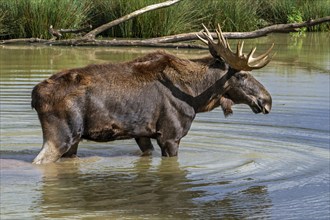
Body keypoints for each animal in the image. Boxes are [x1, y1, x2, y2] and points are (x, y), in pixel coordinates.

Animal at [31, 24, 274, 164]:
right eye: (242, 75)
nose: (267, 100)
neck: (196, 96)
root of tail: (35, 95)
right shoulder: (170, 135)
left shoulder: (142, 133)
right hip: (61, 136)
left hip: (73, 140)